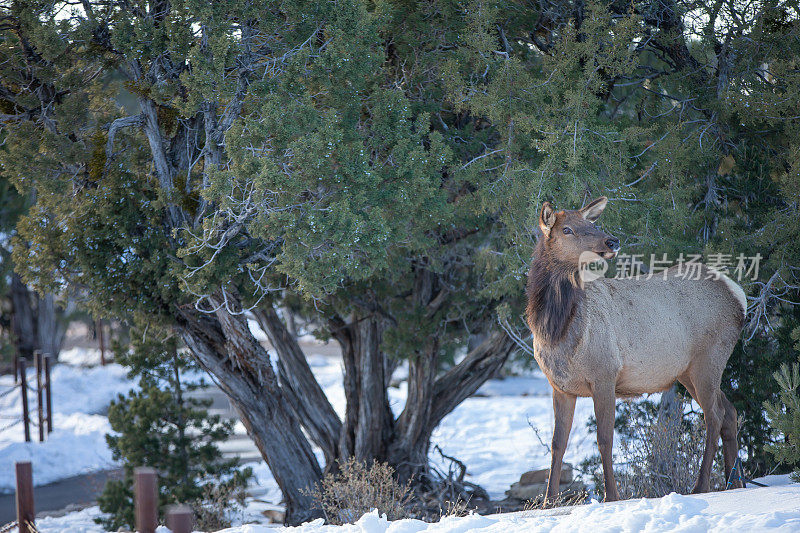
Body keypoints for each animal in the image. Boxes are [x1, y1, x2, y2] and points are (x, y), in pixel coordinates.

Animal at [528, 194, 748, 498]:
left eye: (590, 223)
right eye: (567, 229)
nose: (612, 241)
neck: (555, 331)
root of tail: (738, 295)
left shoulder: (604, 374)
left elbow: (605, 439)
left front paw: (611, 496)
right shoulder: (560, 386)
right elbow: (557, 444)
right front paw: (549, 500)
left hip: (710, 357)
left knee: (713, 415)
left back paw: (701, 486)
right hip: (688, 371)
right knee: (730, 412)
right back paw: (734, 483)